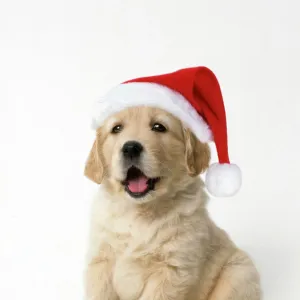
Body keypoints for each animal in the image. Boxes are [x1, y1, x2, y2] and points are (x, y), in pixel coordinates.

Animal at [82, 106, 260, 298]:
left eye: (159, 127)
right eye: (116, 128)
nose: (130, 148)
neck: (139, 212)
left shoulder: (172, 269)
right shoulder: (101, 261)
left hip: (239, 272)